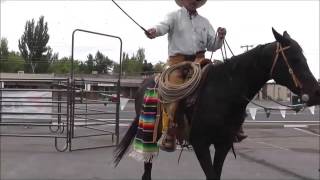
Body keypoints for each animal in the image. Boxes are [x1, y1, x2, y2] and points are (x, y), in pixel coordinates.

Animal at [113, 28, 320, 179]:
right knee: (147, 168)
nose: (316, 92)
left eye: (304, 57)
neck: (224, 91)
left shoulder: (224, 144)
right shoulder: (200, 143)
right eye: (294, 59)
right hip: (150, 134)